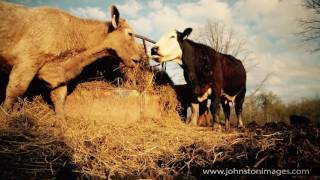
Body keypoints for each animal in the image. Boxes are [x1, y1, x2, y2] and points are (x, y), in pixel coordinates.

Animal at [0, 1, 142, 120]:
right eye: (130, 33)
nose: (139, 58)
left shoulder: (58, 75)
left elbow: (59, 98)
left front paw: (61, 124)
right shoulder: (27, 61)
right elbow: (16, 89)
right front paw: (5, 118)